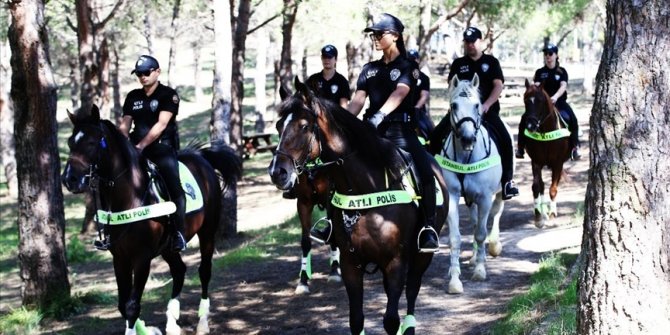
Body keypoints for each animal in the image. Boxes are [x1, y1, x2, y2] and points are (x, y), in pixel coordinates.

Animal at [61, 105, 242, 335]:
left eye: (92, 142)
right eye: (70, 142)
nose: (70, 179)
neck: (130, 195)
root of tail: (201, 158)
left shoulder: (142, 258)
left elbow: (132, 305)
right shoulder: (119, 258)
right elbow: (123, 304)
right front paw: (147, 329)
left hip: (207, 232)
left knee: (204, 271)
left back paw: (202, 323)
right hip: (168, 248)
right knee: (179, 270)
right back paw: (172, 324)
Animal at [438, 75, 512, 296]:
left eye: (477, 105)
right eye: (454, 105)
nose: (468, 138)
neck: (466, 157)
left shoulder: (485, 198)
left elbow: (481, 233)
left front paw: (480, 270)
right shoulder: (453, 196)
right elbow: (455, 238)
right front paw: (454, 279)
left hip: (499, 194)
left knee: (495, 215)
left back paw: (492, 247)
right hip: (470, 200)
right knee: (473, 221)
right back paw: (472, 258)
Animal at [524, 80, 572, 228]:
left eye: (539, 101)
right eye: (525, 100)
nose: (530, 126)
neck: (546, 132)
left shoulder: (557, 164)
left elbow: (553, 189)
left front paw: (552, 213)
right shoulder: (536, 162)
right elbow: (536, 187)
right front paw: (538, 217)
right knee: (541, 186)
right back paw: (543, 212)